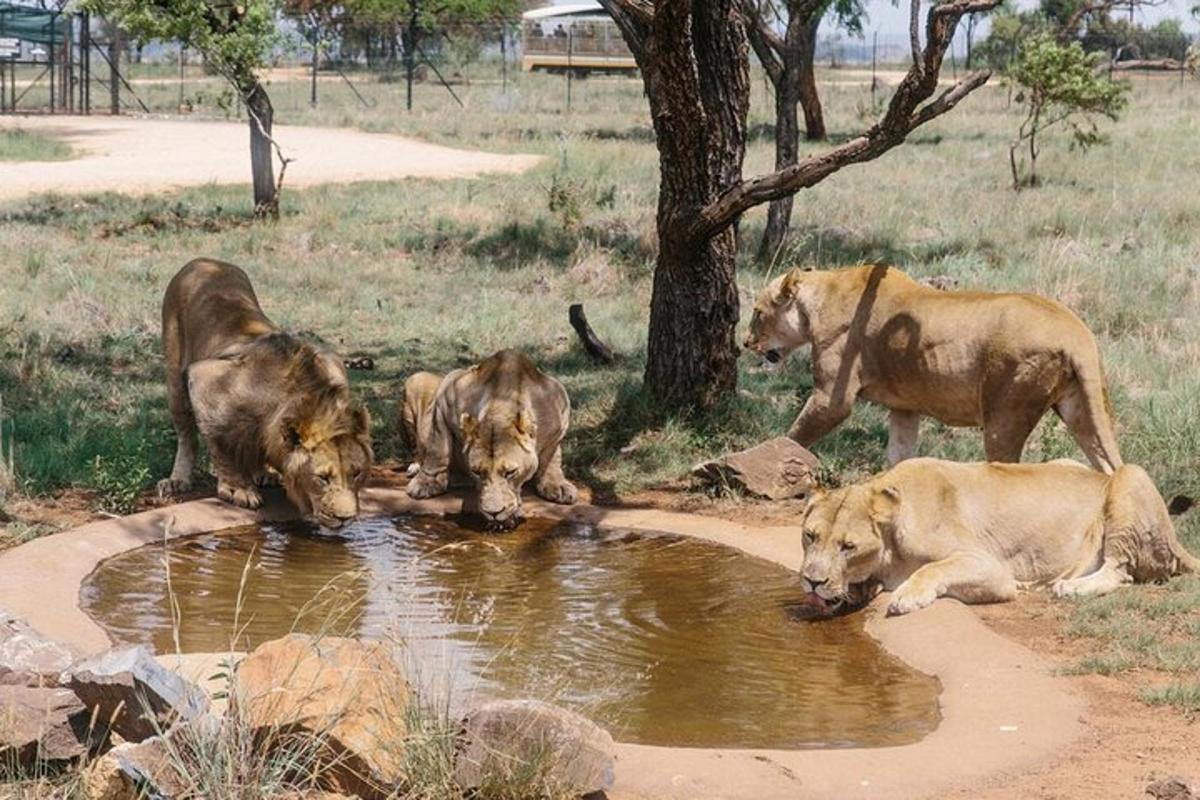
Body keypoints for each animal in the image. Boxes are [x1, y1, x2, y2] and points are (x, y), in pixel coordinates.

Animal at [159, 260, 372, 527]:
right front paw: (237, 489)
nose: (345, 519)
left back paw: (265, 473)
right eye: (322, 478)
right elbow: (221, 444)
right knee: (186, 434)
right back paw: (178, 480)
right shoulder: (204, 379)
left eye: (357, 474)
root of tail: (204, 260)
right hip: (175, 377)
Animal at [400, 350, 578, 532]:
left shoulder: (560, 407)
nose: (493, 513)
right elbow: (438, 449)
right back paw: (416, 467)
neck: (503, 402)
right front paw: (426, 483)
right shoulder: (446, 394)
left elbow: (552, 457)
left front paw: (557, 486)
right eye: (477, 472)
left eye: (510, 472)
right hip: (415, 381)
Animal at [739, 262, 1123, 474]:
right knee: (1107, 466)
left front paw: (763, 457)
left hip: (1006, 411)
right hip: (1079, 407)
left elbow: (796, 433)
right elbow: (898, 455)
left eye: (757, 313)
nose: (745, 343)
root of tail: (1077, 332)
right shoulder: (905, 408)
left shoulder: (833, 396)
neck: (821, 296)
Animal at [796, 455, 1200, 618]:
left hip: (1130, 475)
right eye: (809, 536)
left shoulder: (991, 567)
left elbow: (932, 569)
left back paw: (1070, 587)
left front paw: (907, 596)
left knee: (1120, 571)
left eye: (848, 547)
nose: (812, 582)